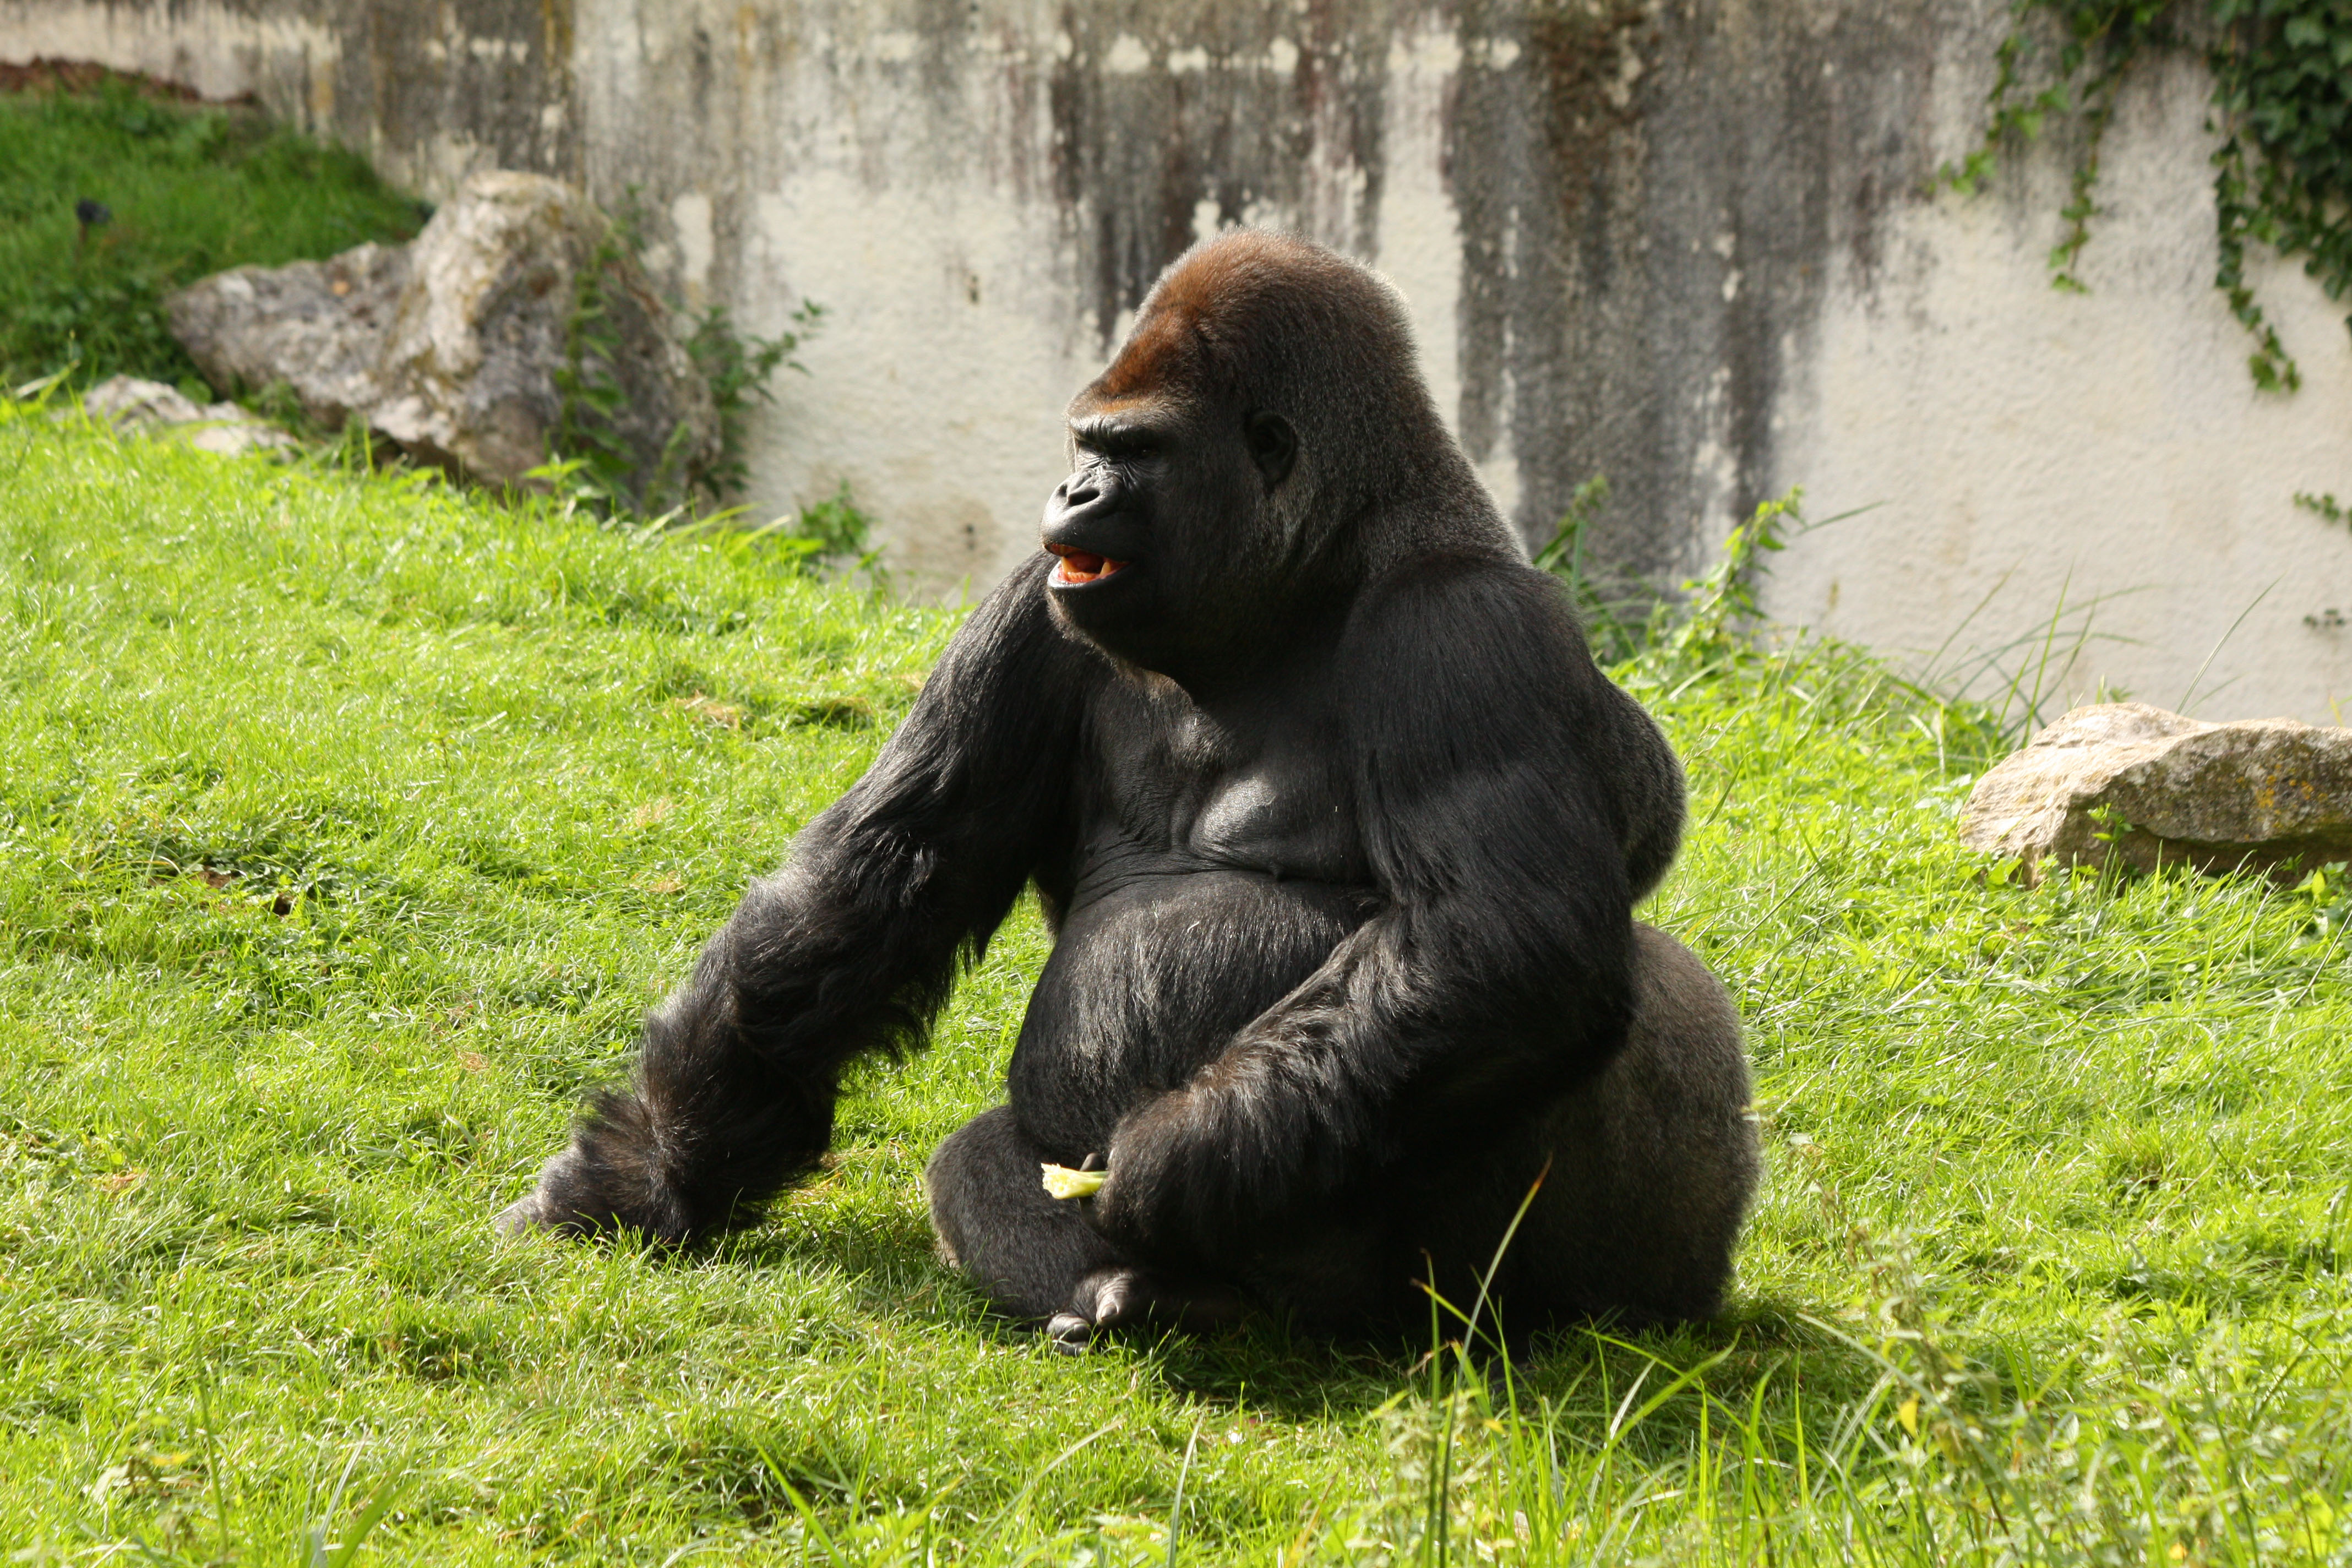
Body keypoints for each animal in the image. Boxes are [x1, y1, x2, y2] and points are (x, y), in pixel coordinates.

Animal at [505, 230, 1759, 1354]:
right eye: (1083, 441)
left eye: (1136, 452)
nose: (1072, 487)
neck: (1313, 564)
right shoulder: (1033, 603)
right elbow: (884, 878)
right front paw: (656, 1167)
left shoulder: (1469, 631)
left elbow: (1503, 939)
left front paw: (1183, 1154)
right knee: (975, 1160)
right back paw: (1142, 1292)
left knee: (1632, 993)